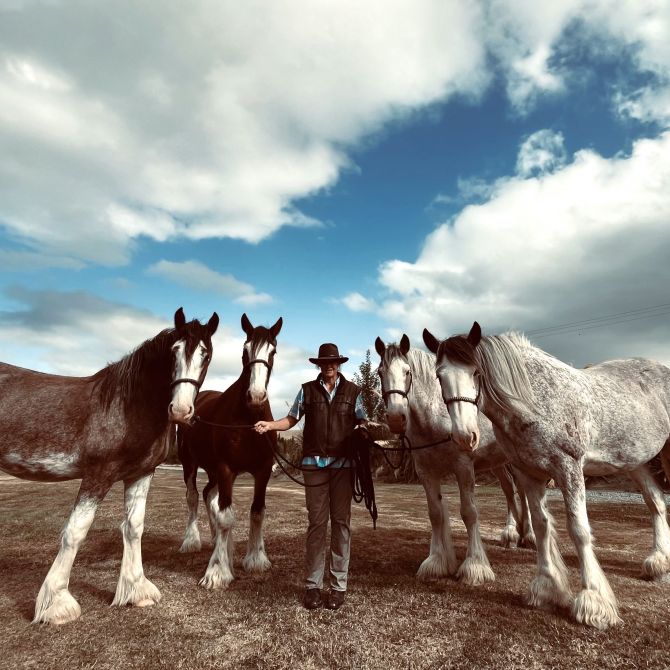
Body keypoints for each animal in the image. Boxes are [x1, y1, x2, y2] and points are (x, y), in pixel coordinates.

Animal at [0, 308, 219, 624]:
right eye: (174, 351)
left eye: (207, 354)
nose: (180, 411)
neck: (127, 405)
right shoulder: (98, 475)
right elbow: (75, 532)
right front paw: (57, 605)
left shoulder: (141, 474)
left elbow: (134, 527)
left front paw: (137, 592)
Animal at [177, 312, 282, 592]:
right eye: (245, 350)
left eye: (273, 351)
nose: (256, 395)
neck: (249, 421)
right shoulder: (226, 469)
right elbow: (226, 517)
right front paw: (217, 570)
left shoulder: (262, 471)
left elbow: (257, 512)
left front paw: (256, 558)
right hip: (190, 464)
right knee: (193, 497)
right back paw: (192, 541)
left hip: (213, 472)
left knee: (208, 495)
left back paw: (217, 541)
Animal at [376, 338, 532, 584]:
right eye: (380, 372)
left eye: (407, 371)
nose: (395, 418)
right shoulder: (426, 471)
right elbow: (435, 514)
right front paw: (437, 563)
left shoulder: (463, 466)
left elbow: (469, 512)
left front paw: (475, 566)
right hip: (498, 464)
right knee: (509, 489)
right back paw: (511, 534)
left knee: (523, 490)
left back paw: (529, 535)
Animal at [426, 322, 670, 632]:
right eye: (439, 375)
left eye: (476, 372)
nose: (464, 436)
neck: (534, 401)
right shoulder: (529, 474)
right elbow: (541, 527)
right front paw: (547, 588)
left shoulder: (569, 469)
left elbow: (579, 530)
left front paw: (593, 603)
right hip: (636, 463)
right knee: (656, 503)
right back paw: (659, 562)